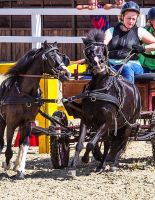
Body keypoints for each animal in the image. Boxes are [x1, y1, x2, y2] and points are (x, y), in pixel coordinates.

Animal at [0, 40, 70, 178]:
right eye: (52, 57)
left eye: (61, 56)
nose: (67, 74)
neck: (24, 94)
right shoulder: (11, 123)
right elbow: (9, 148)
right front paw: (7, 164)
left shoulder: (28, 122)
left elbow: (25, 144)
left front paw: (20, 169)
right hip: (2, 121)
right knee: (1, 141)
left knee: (20, 142)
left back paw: (16, 165)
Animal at [71, 29, 141, 170]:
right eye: (88, 51)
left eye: (103, 49)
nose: (98, 64)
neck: (100, 91)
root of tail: (135, 89)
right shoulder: (86, 119)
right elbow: (80, 143)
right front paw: (74, 165)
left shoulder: (107, 121)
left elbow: (91, 143)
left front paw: (85, 158)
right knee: (109, 142)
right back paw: (101, 165)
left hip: (129, 123)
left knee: (122, 142)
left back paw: (114, 164)